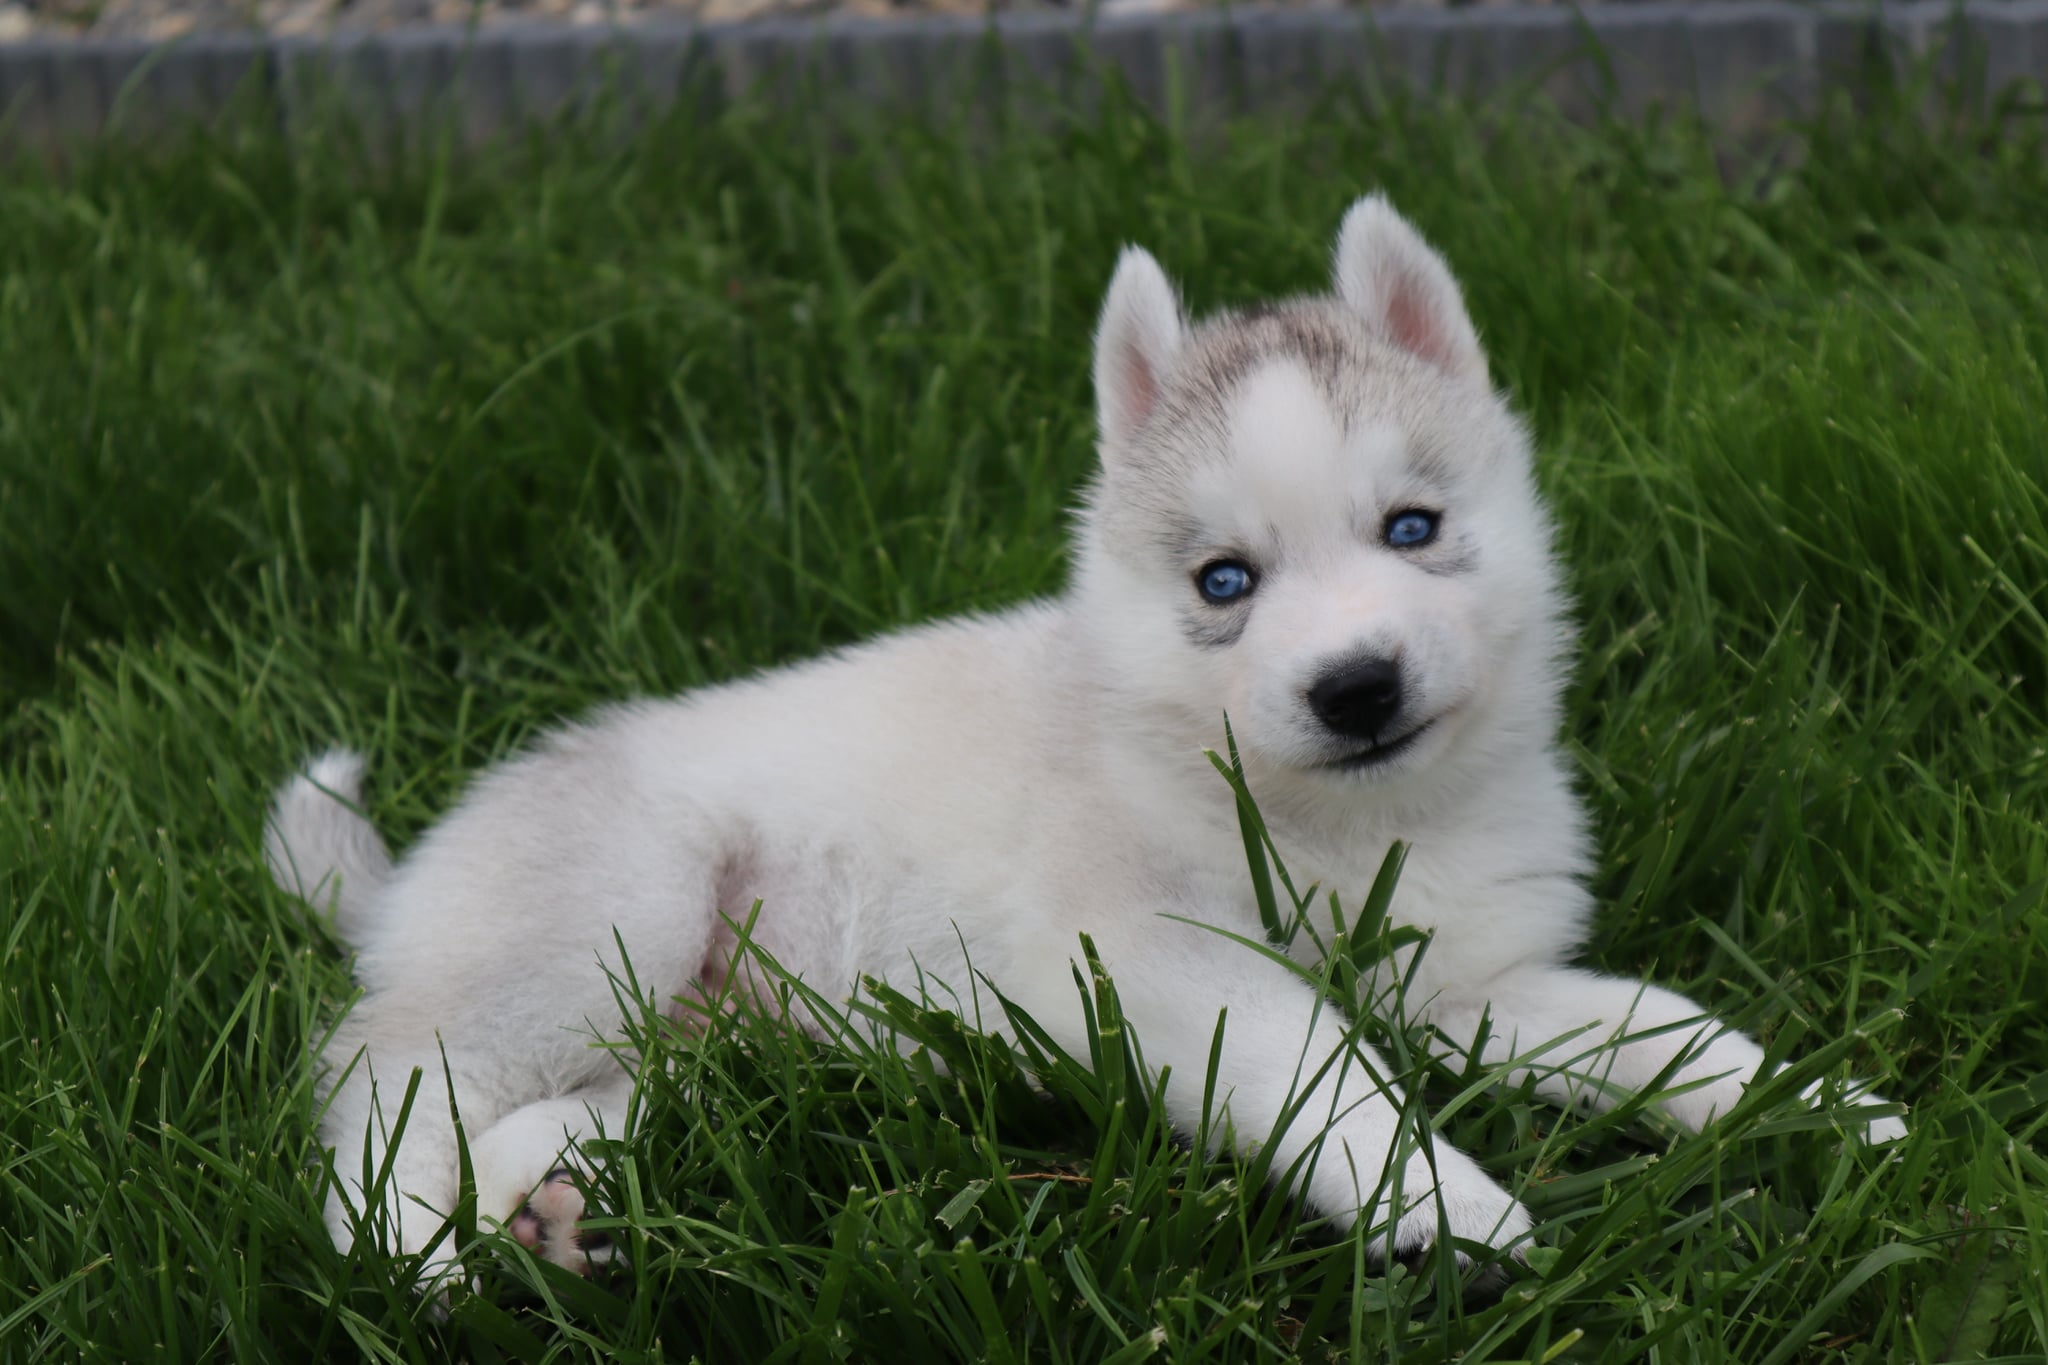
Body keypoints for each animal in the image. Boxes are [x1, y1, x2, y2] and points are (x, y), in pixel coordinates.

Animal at [268, 197, 1900, 1285]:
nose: (1358, 687)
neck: (1333, 823)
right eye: (1224, 584)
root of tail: (412, 874)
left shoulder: (1472, 982)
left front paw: (1820, 1104)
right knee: (382, 1091)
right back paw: (412, 1250)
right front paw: (1444, 1203)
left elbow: (1661, 1027)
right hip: (611, 916)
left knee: (539, 1109)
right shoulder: (1158, 965)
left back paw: (543, 1213)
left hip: (672, 1035)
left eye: (1411, 529)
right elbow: (1327, 1077)